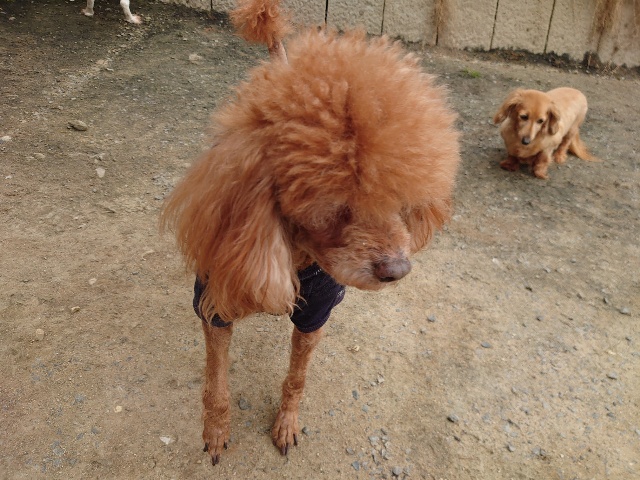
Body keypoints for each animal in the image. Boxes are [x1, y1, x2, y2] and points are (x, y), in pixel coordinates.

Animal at [161, 0, 460, 466]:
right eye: (335, 208)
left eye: (401, 201)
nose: (397, 271)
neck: (294, 252)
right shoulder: (216, 297)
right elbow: (217, 381)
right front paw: (215, 431)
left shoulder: (317, 310)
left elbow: (297, 376)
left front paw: (285, 424)